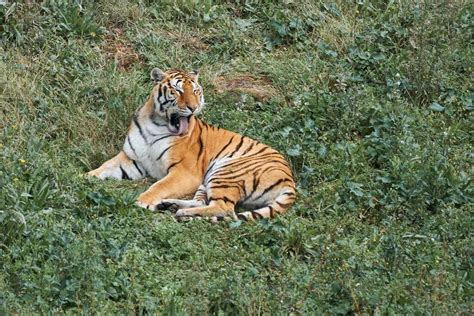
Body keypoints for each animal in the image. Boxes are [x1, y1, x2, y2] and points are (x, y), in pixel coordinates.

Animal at [88, 67, 296, 220]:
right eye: (178, 91)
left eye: (196, 91)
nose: (193, 107)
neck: (156, 123)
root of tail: (290, 180)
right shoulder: (132, 159)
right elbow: (105, 166)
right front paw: (85, 177)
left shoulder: (184, 172)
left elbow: (159, 186)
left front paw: (141, 201)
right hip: (208, 181)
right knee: (205, 202)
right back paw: (171, 205)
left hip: (225, 171)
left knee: (224, 208)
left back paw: (181, 212)